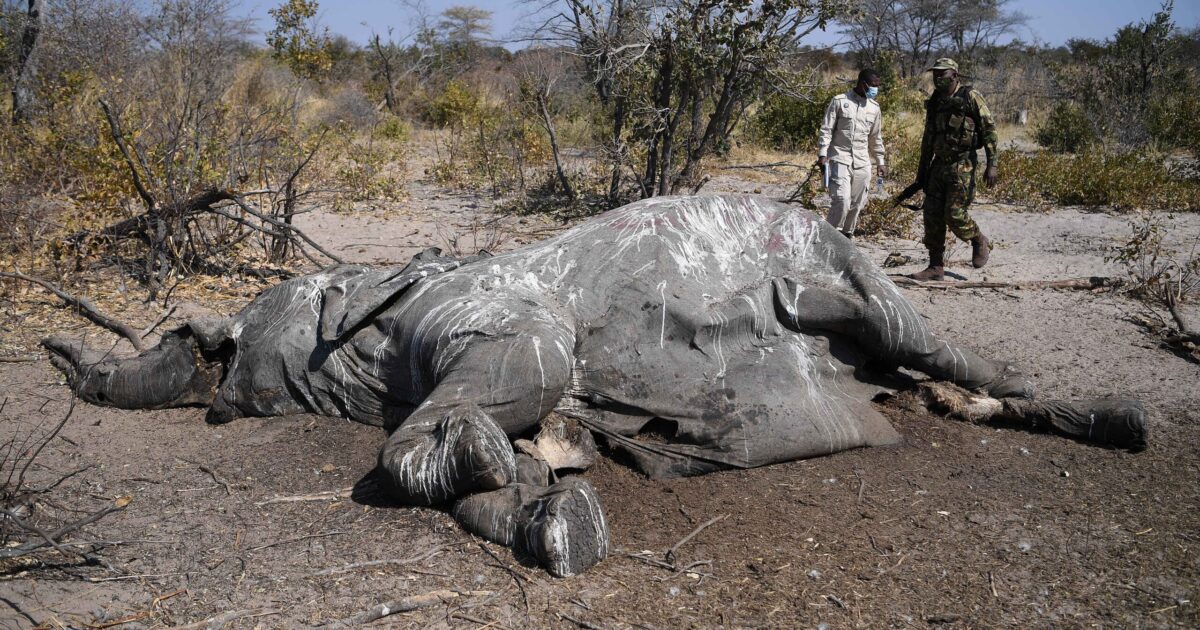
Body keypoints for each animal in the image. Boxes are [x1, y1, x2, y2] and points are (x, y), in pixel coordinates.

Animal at [45, 195, 1147, 577]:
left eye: (248, 329)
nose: (218, 384)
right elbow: (520, 457)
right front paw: (540, 513)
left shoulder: (490, 313)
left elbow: (497, 389)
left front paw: (483, 467)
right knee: (923, 377)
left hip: (848, 272)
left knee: (925, 339)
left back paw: (1113, 420)